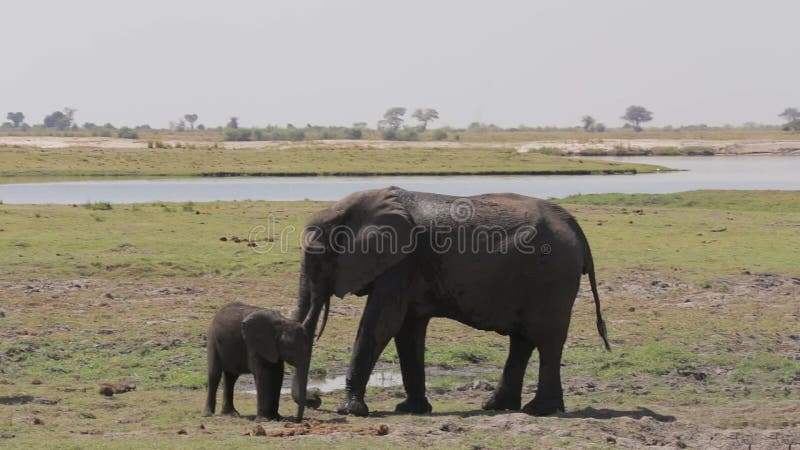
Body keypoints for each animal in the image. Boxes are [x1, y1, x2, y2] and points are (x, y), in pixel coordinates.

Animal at [290, 185, 608, 414]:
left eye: (317, 257)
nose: (315, 399)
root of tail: (575, 227)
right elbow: (407, 331)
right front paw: (411, 409)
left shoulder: (401, 263)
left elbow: (381, 324)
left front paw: (350, 411)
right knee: (523, 340)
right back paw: (497, 406)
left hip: (552, 276)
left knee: (546, 339)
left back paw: (539, 410)